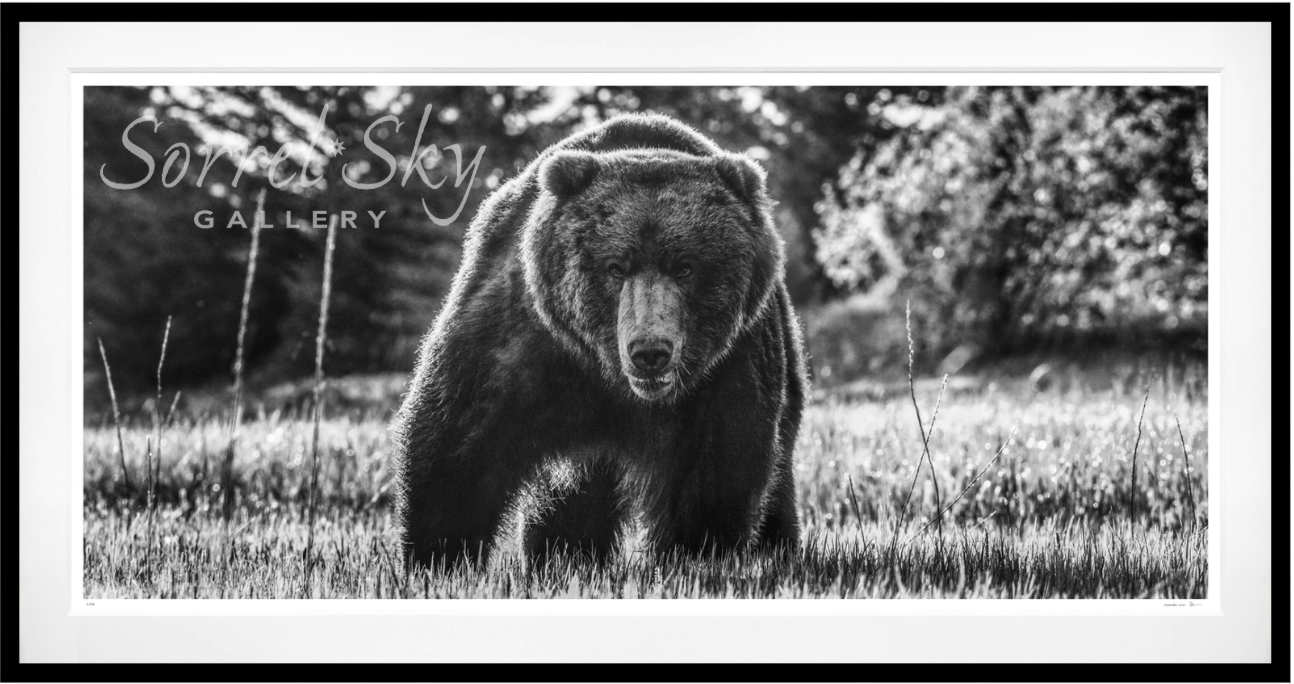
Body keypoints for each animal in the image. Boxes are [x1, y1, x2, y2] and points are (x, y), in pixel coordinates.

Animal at [390, 113, 808, 572]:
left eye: (685, 267)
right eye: (615, 267)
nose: (650, 352)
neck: (612, 380)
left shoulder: (728, 366)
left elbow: (715, 475)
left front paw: (694, 559)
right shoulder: (522, 340)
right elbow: (458, 443)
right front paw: (438, 559)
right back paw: (565, 557)